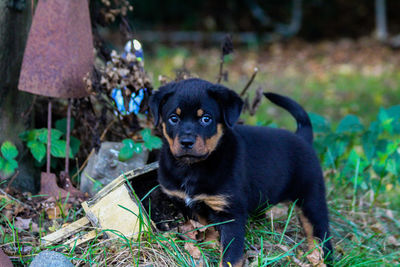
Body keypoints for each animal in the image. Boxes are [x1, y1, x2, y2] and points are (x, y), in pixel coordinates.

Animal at [148, 78, 332, 266]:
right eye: (174, 118)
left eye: (206, 119)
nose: (186, 142)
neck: (192, 167)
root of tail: (303, 138)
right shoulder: (192, 205)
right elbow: (206, 225)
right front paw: (210, 243)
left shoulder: (231, 214)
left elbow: (230, 255)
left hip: (311, 199)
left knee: (319, 232)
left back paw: (320, 257)